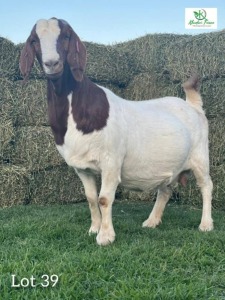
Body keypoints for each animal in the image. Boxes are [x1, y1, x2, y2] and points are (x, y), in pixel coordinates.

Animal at [18, 17, 213, 245]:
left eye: (65, 36)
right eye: (34, 40)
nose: (52, 63)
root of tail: (192, 104)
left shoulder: (111, 160)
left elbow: (104, 198)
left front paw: (105, 236)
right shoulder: (82, 168)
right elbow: (91, 198)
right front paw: (93, 229)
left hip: (200, 155)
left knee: (206, 185)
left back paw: (206, 224)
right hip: (171, 162)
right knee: (165, 189)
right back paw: (151, 221)